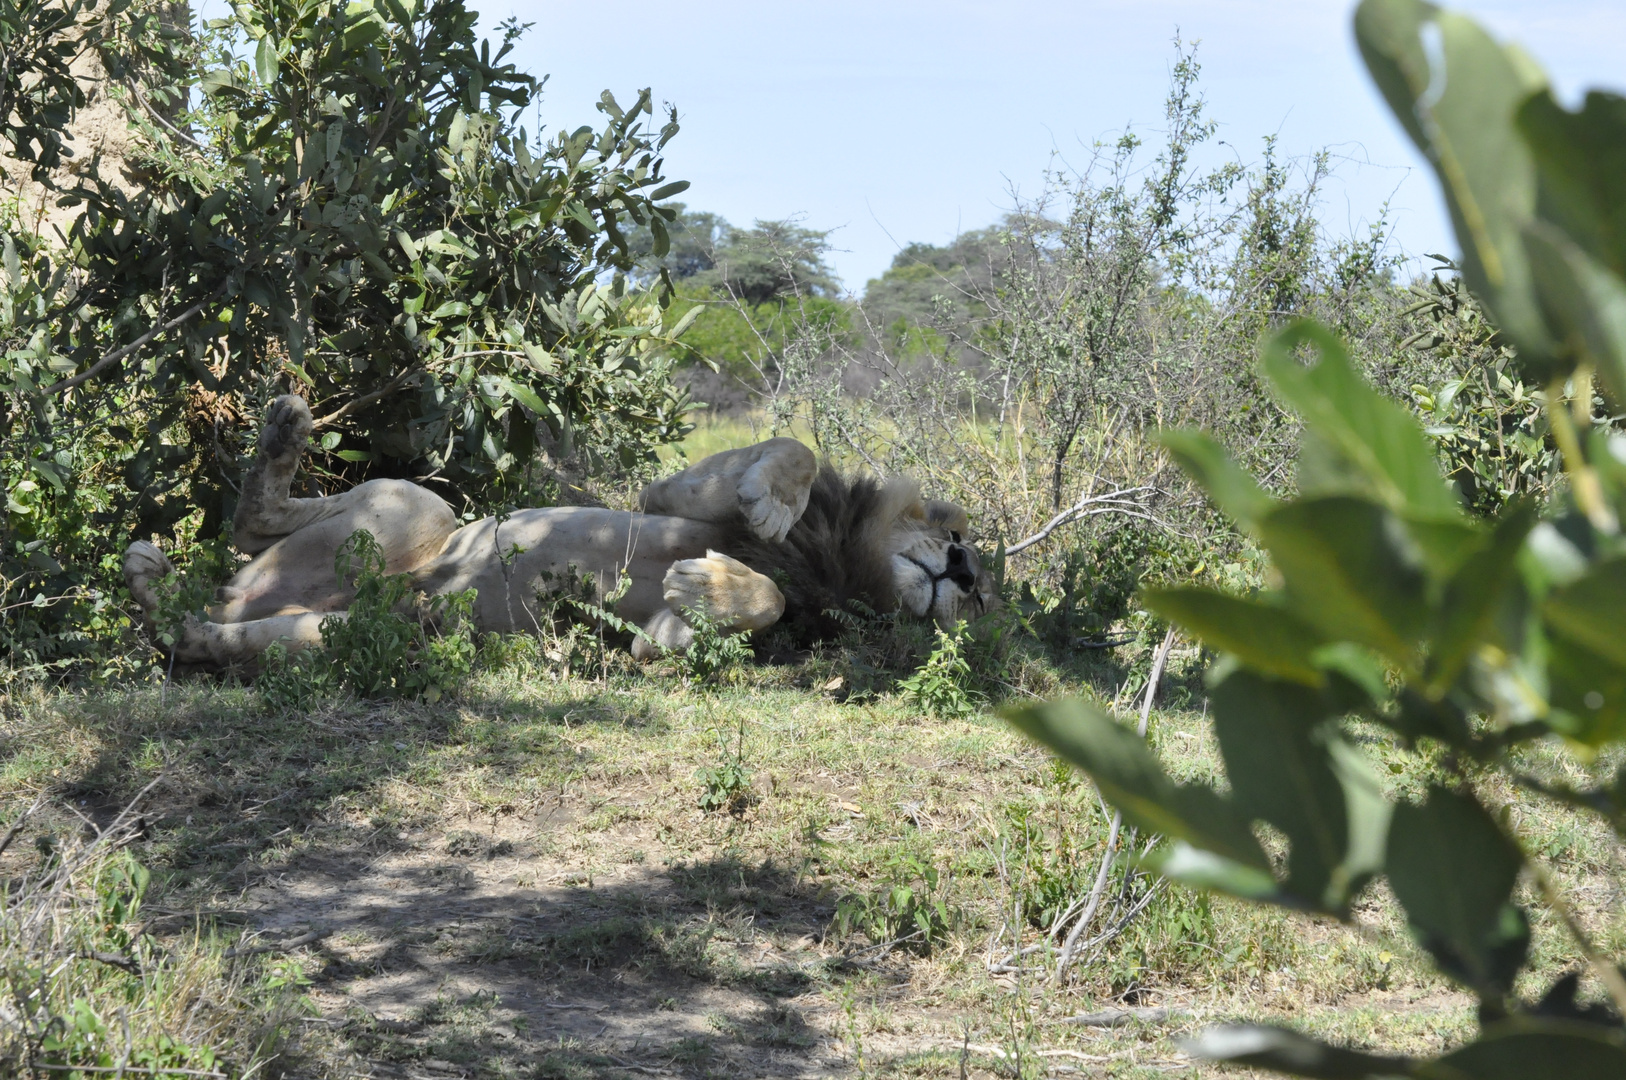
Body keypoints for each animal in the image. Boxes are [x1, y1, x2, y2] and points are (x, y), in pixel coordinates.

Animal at [123, 396, 988, 666]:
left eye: (981, 609)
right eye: (964, 547)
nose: (965, 578)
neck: (844, 568)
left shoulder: (662, 647)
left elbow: (755, 607)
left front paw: (710, 584)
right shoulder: (672, 497)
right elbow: (789, 455)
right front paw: (770, 503)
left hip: (380, 629)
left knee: (206, 633)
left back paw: (161, 601)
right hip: (415, 508)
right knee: (254, 519)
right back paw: (283, 431)